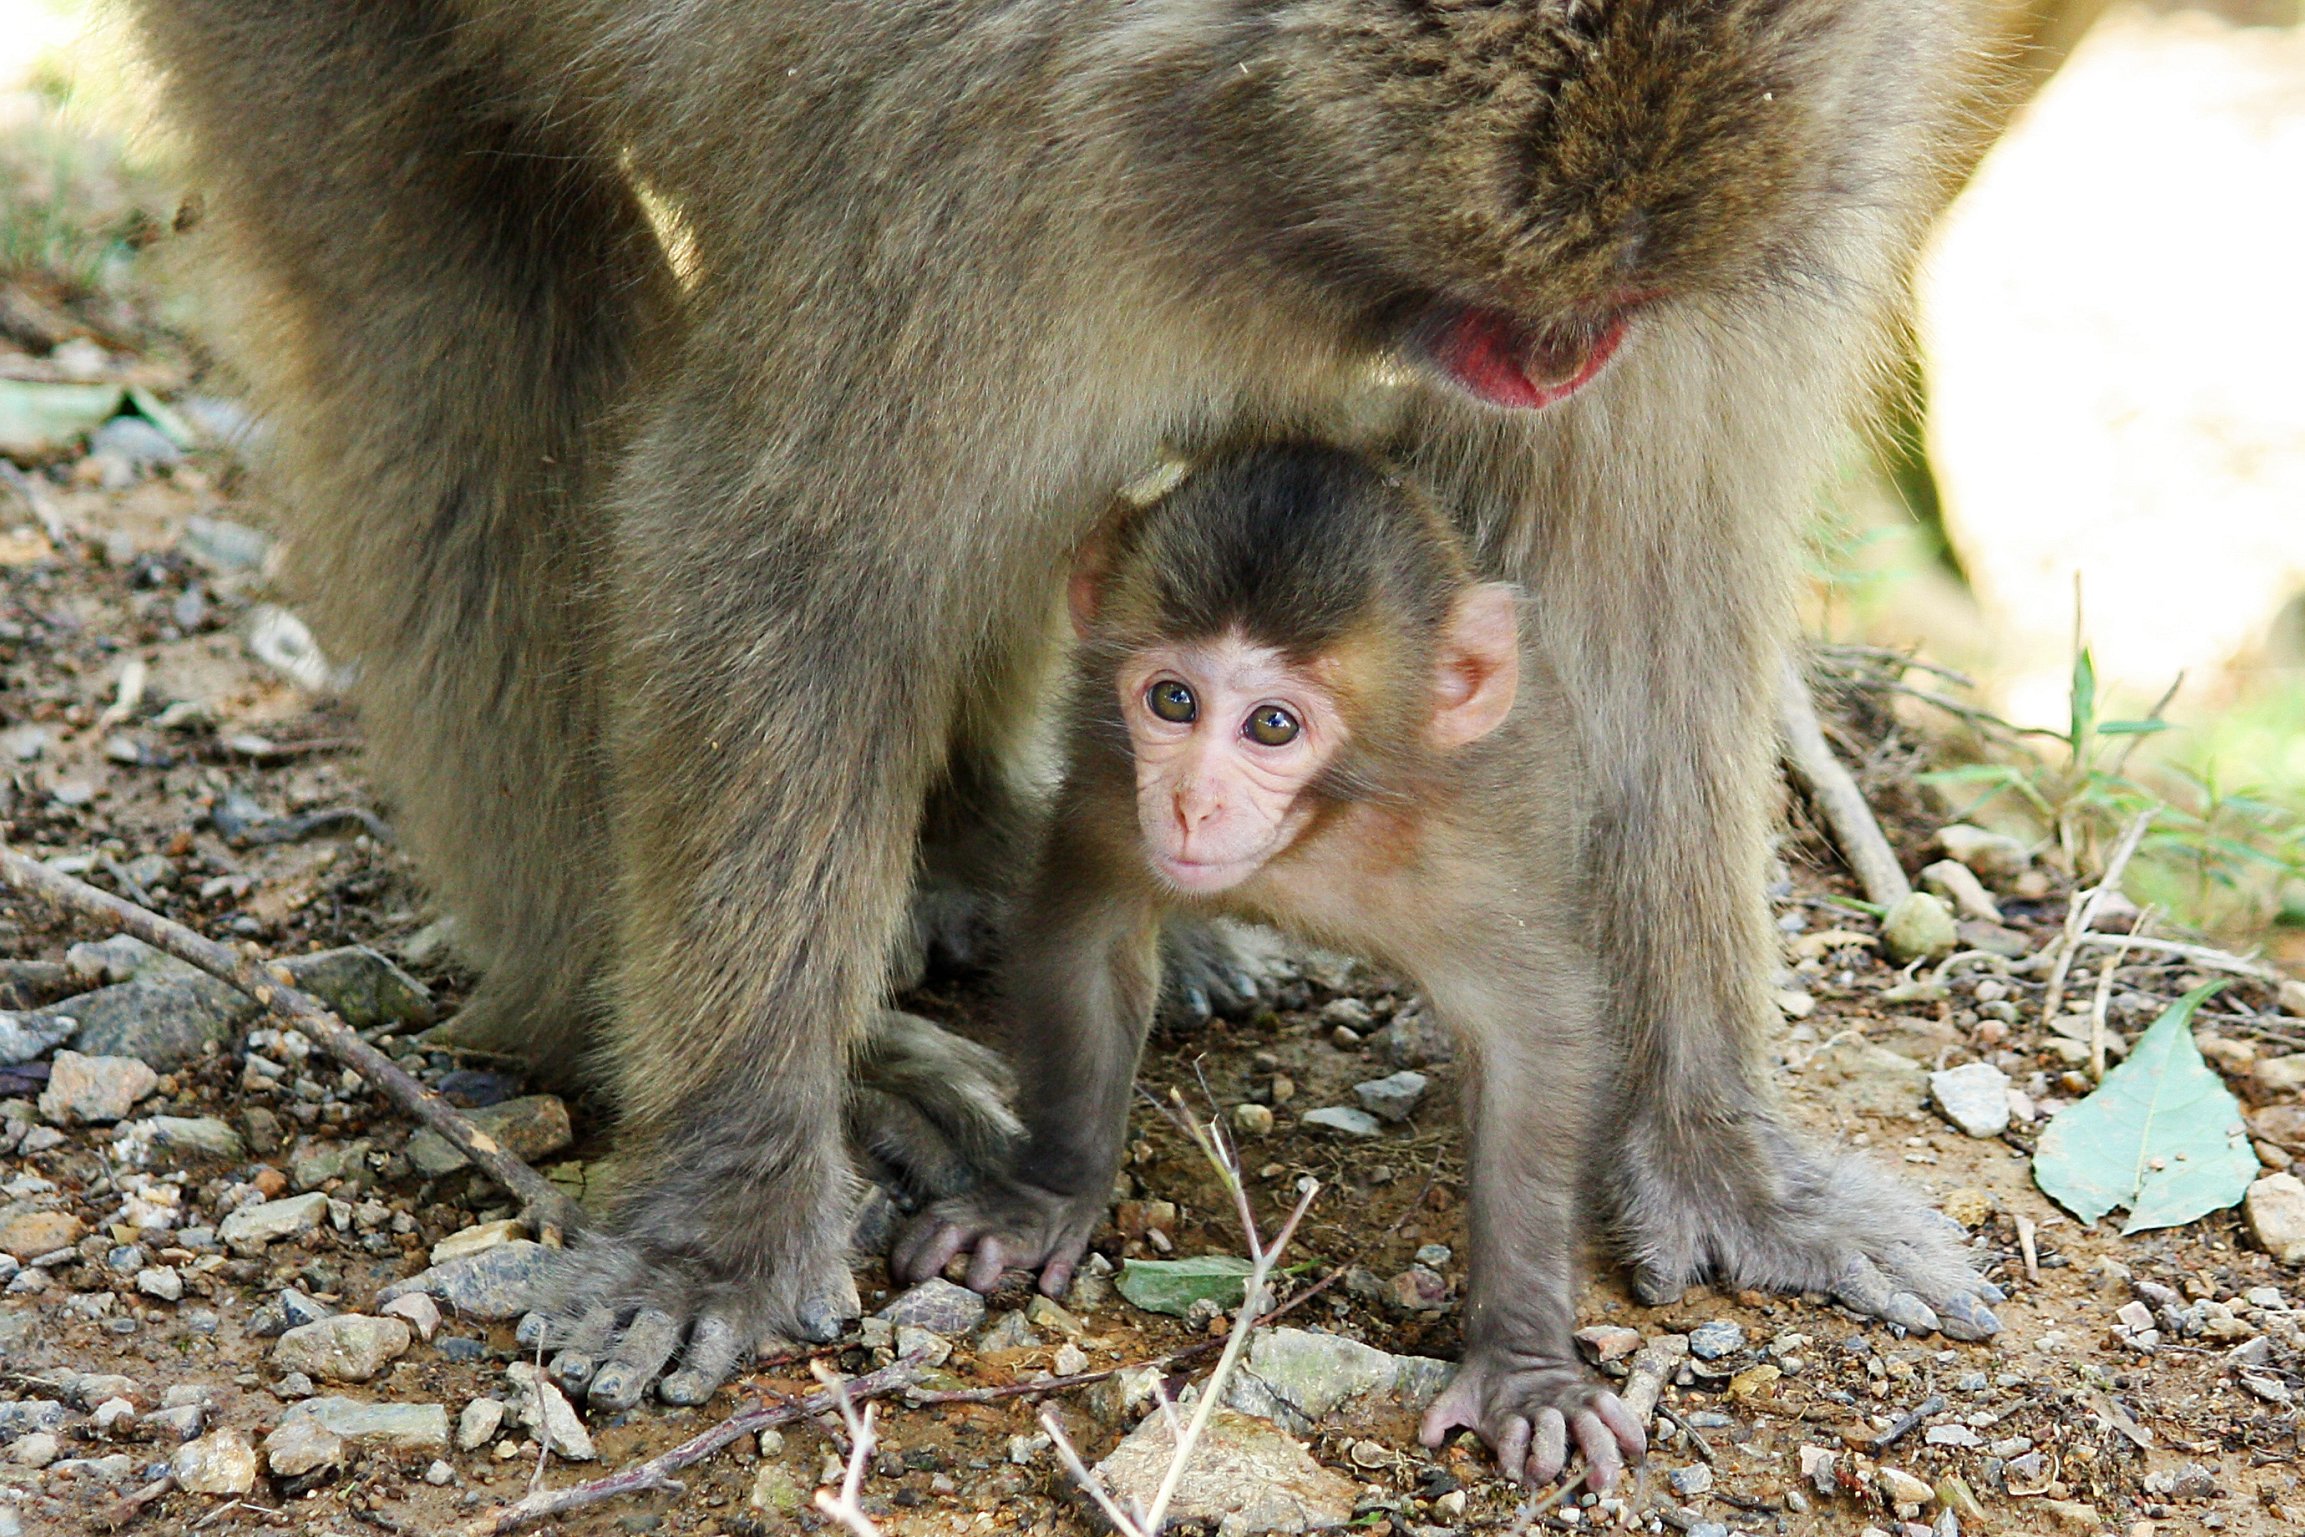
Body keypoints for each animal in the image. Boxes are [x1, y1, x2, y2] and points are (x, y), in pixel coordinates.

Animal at [889, 442, 1650, 1493]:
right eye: (1173, 700)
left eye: (1273, 726)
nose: (1192, 803)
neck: (1314, 829)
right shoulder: (1108, 781)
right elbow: (1085, 940)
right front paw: (1040, 1193)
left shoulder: (1475, 852)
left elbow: (1534, 1046)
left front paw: (1528, 1369)